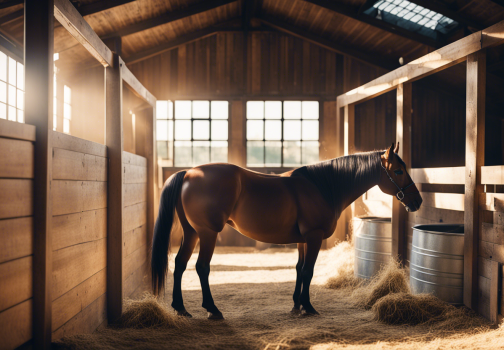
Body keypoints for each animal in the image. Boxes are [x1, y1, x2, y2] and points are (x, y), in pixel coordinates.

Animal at [152, 143, 424, 320]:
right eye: (398, 171)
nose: (417, 201)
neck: (322, 186)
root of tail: (189, 172)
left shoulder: (303, 240)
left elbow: (298, 269)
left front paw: (296, 305)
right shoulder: (313, 237)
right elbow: (308, 271)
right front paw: (308, 307)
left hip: (192, 232)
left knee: (179, 264)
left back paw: (180, 308)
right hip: (207, 233)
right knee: (201, 268)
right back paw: (212, 310)